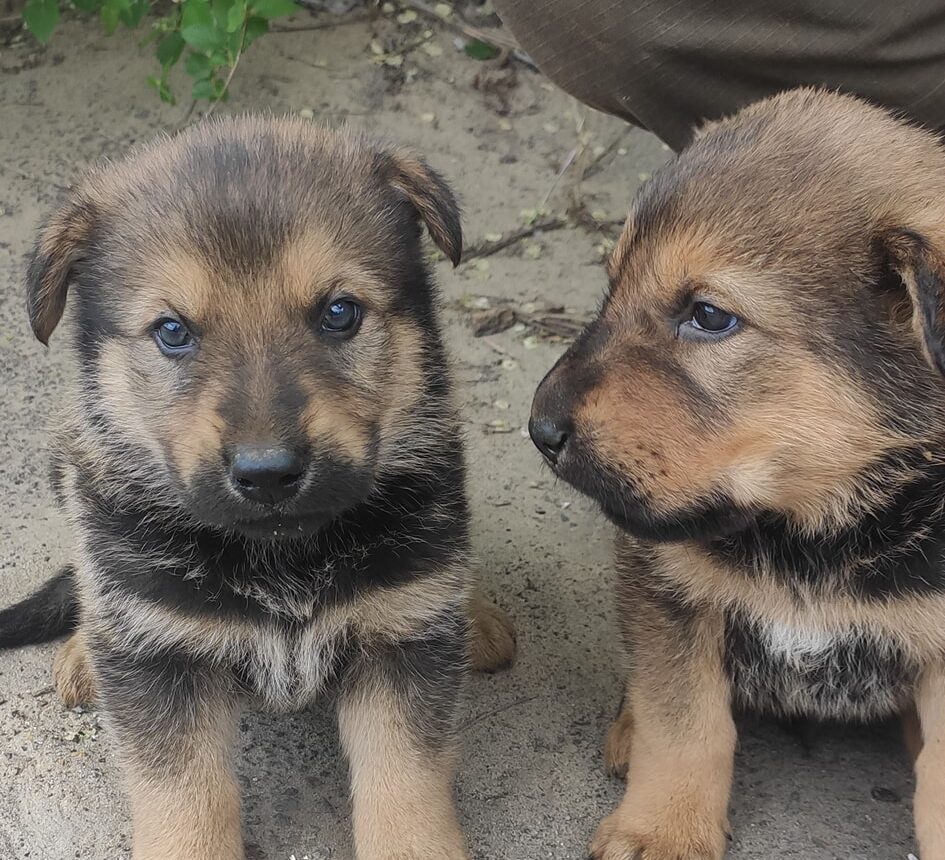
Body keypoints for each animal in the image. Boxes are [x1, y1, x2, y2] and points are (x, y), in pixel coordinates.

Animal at [0, 117, 512, 860]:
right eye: (172, 332)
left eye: (339, 312)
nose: (268, 473)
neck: (281, 562)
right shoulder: (162, 663)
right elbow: (183, 803)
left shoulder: (402, 643)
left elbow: (406, 787)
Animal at [532, 89, 945, 860]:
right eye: (612, 286)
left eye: (708, 316)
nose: (539, 429)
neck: (816, 535)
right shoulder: (668, 592)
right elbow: (685, 723)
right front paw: (662, 829)